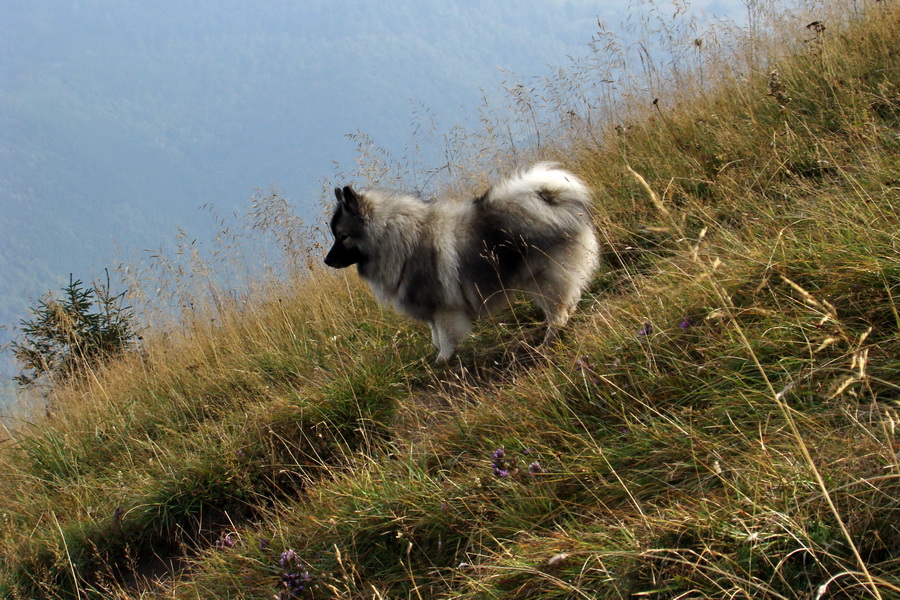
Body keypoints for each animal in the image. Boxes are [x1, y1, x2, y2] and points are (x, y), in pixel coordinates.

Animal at [324, 162, 596, 364]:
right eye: (335, 235)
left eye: (343, 236)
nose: (327, 260)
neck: (395, 239)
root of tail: (550, 199)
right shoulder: (432, 312)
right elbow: (435, 336)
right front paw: (439, 356)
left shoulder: (444, 309)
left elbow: (445, 337)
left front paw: (443, 360)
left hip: (544, 280)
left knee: (558, 311)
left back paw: (549, 339)